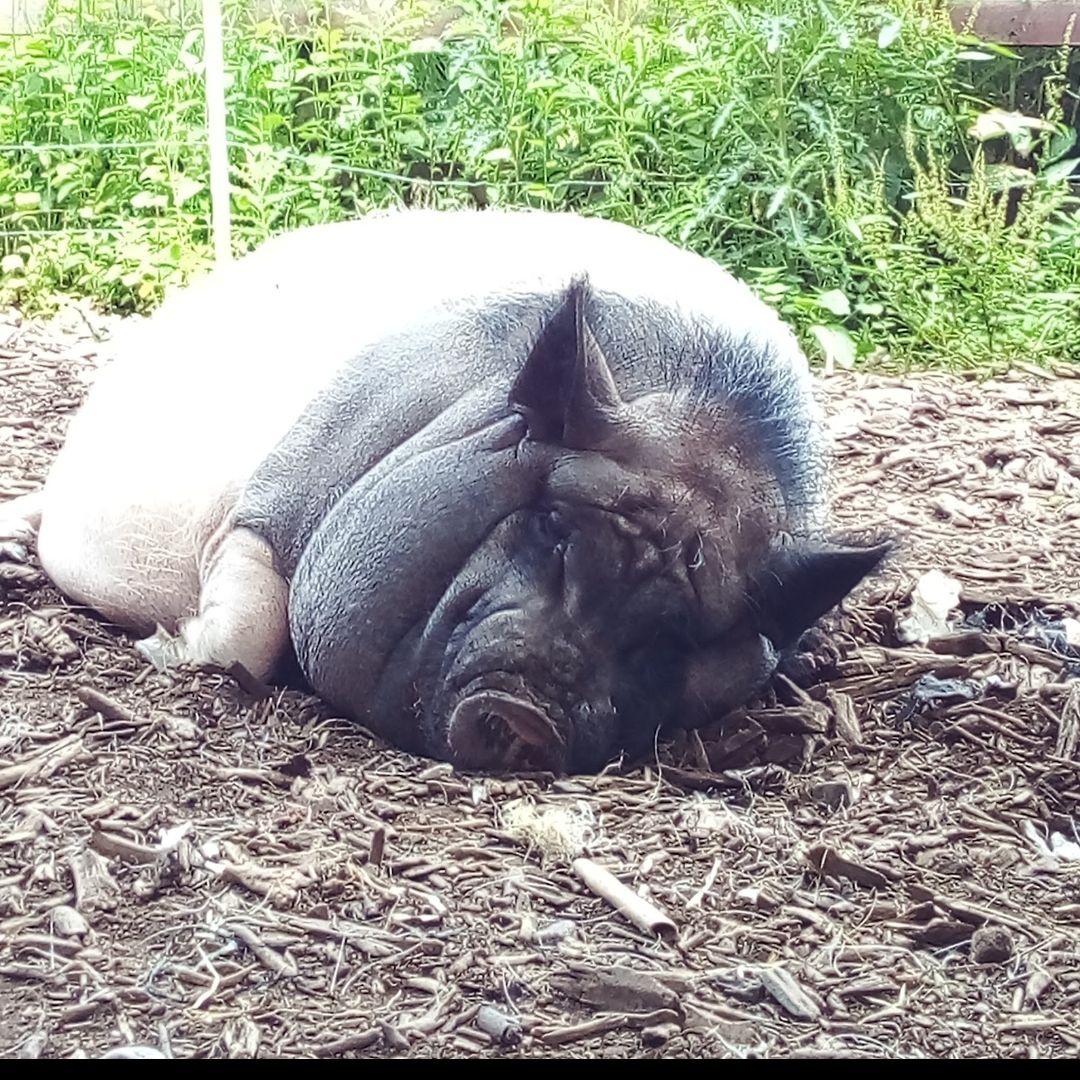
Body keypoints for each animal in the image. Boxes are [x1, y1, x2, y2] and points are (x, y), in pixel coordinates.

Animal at [0, 208, 889, 773]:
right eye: (552, 525)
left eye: (682, 635)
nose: (531, 711)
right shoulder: (279, 494)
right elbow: (246, 631)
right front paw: (161, 648)